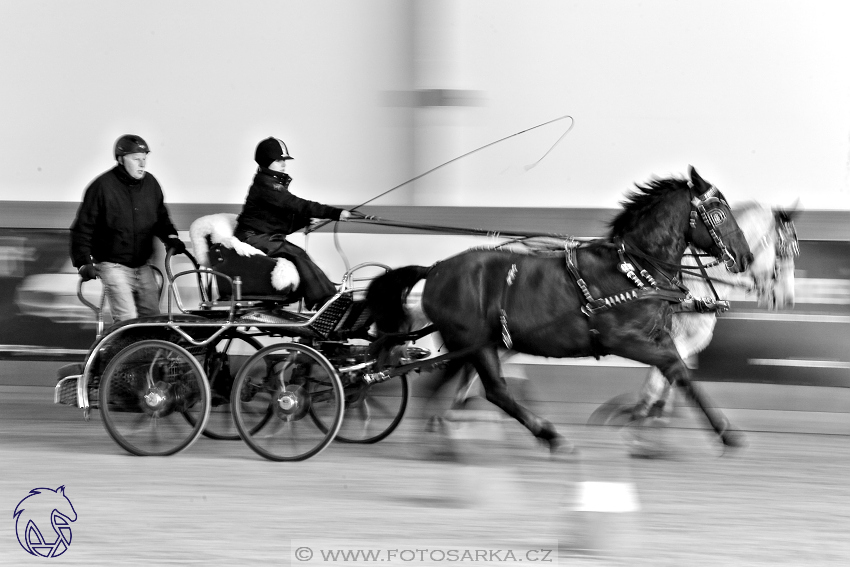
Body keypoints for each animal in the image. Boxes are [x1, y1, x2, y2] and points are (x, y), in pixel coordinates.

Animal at [368, 166, 752, 454]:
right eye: (719, 213)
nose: (745, 257)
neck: (632, 269)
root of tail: (434, 269)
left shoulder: (658, 337)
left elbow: (676, 375)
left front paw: (646, 421)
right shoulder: (624, 339)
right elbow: (677, 371)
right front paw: (725, 431)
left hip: (470, 344)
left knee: (451, 385)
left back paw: (438, 438)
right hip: (473, 342)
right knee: (495, 390)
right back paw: (549, 435)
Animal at [588, 203, 796, 458]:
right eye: (784, 250)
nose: (787, 299)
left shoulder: (673, 345)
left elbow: (667, 382)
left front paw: (651, 422)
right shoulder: (675, 341)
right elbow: (658, 383)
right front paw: (641, 430)